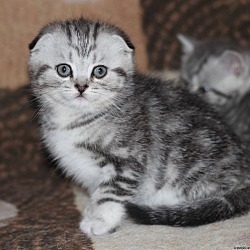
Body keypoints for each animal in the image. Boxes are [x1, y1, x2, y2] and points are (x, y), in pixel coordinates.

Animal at [28, 18, 250, 236]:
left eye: (99, 71)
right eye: (64, 69)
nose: (81, 87)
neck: (77, 118)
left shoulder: (128, 160)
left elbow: (110, 193)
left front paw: (101, 219)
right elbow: (98, 191)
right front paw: (92, 209)